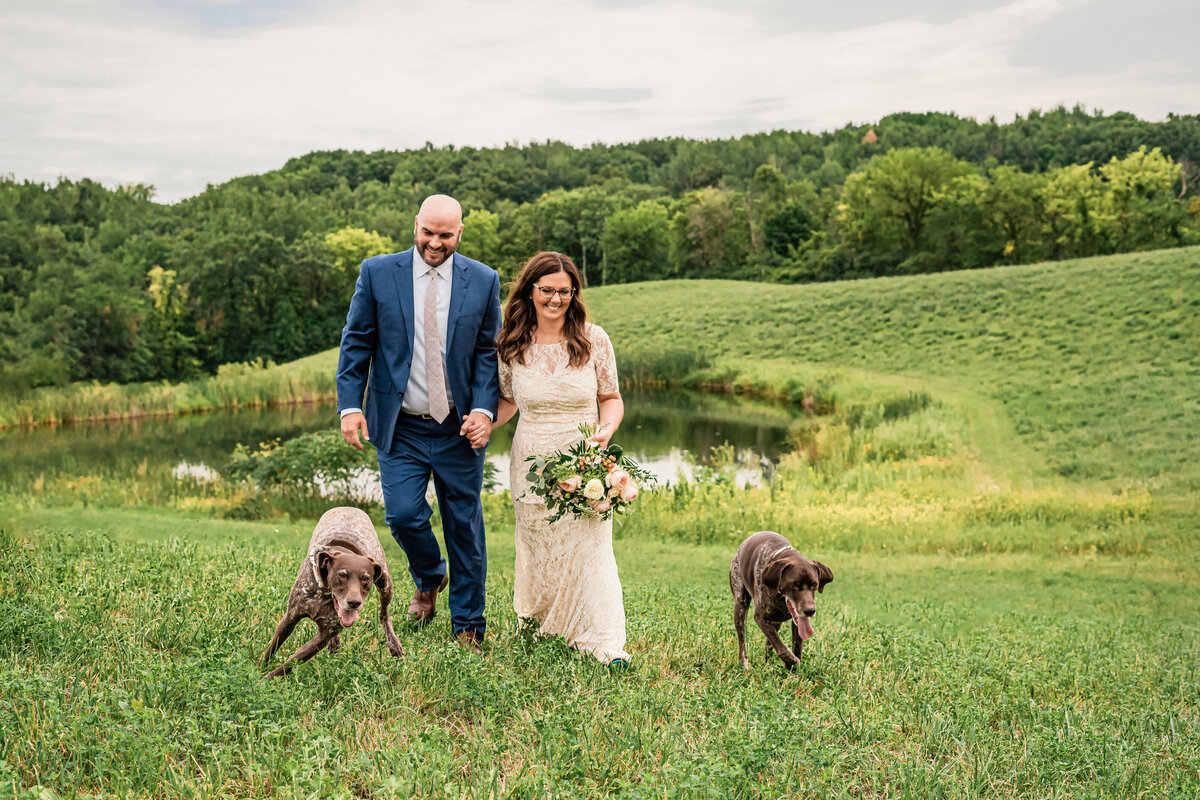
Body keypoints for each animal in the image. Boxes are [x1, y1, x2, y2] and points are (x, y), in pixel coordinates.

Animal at [261, 506, 403, 676]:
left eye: (366, 578)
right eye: (342, 575)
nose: (354, 603)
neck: (323, 593)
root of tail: (350, 507)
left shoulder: (323, 635)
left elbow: (289, 664)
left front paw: (266, 678)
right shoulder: (291, 617)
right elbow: (272, 647)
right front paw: (259, 669)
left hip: (385, 584)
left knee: (384, 613)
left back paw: (394, 644)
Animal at [729, 532, 835, 671]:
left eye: (814, 585)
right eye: (794, 585)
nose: (810, 611)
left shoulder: (797, 623)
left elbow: (796, 647)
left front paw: (793, 671)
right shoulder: (760, 617)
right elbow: (781, 647)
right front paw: (792, 661)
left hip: (776, 622)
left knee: (768, 645)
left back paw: (767, 665)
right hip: (740, 605)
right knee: (742, 641)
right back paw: (745, 664)